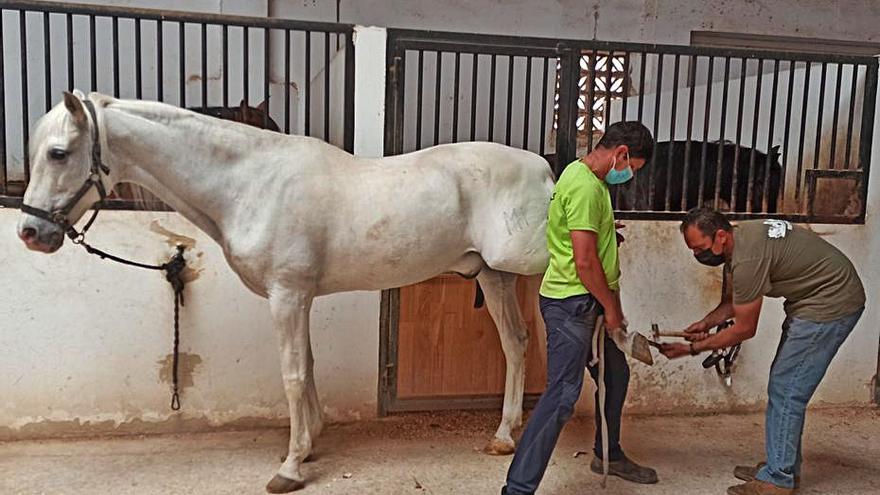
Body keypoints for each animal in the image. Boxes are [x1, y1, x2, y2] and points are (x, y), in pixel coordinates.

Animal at [17, 91, 552, 494]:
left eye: (59, 153)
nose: (30, 232)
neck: (251, 183)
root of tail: (548, 173)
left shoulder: (288, 295)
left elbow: (293, 374)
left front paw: (291, 468)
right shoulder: (300, 296)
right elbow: (308, 365)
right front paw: (310, 442)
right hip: (493, 275)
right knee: (516, 344)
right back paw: (504, 436)